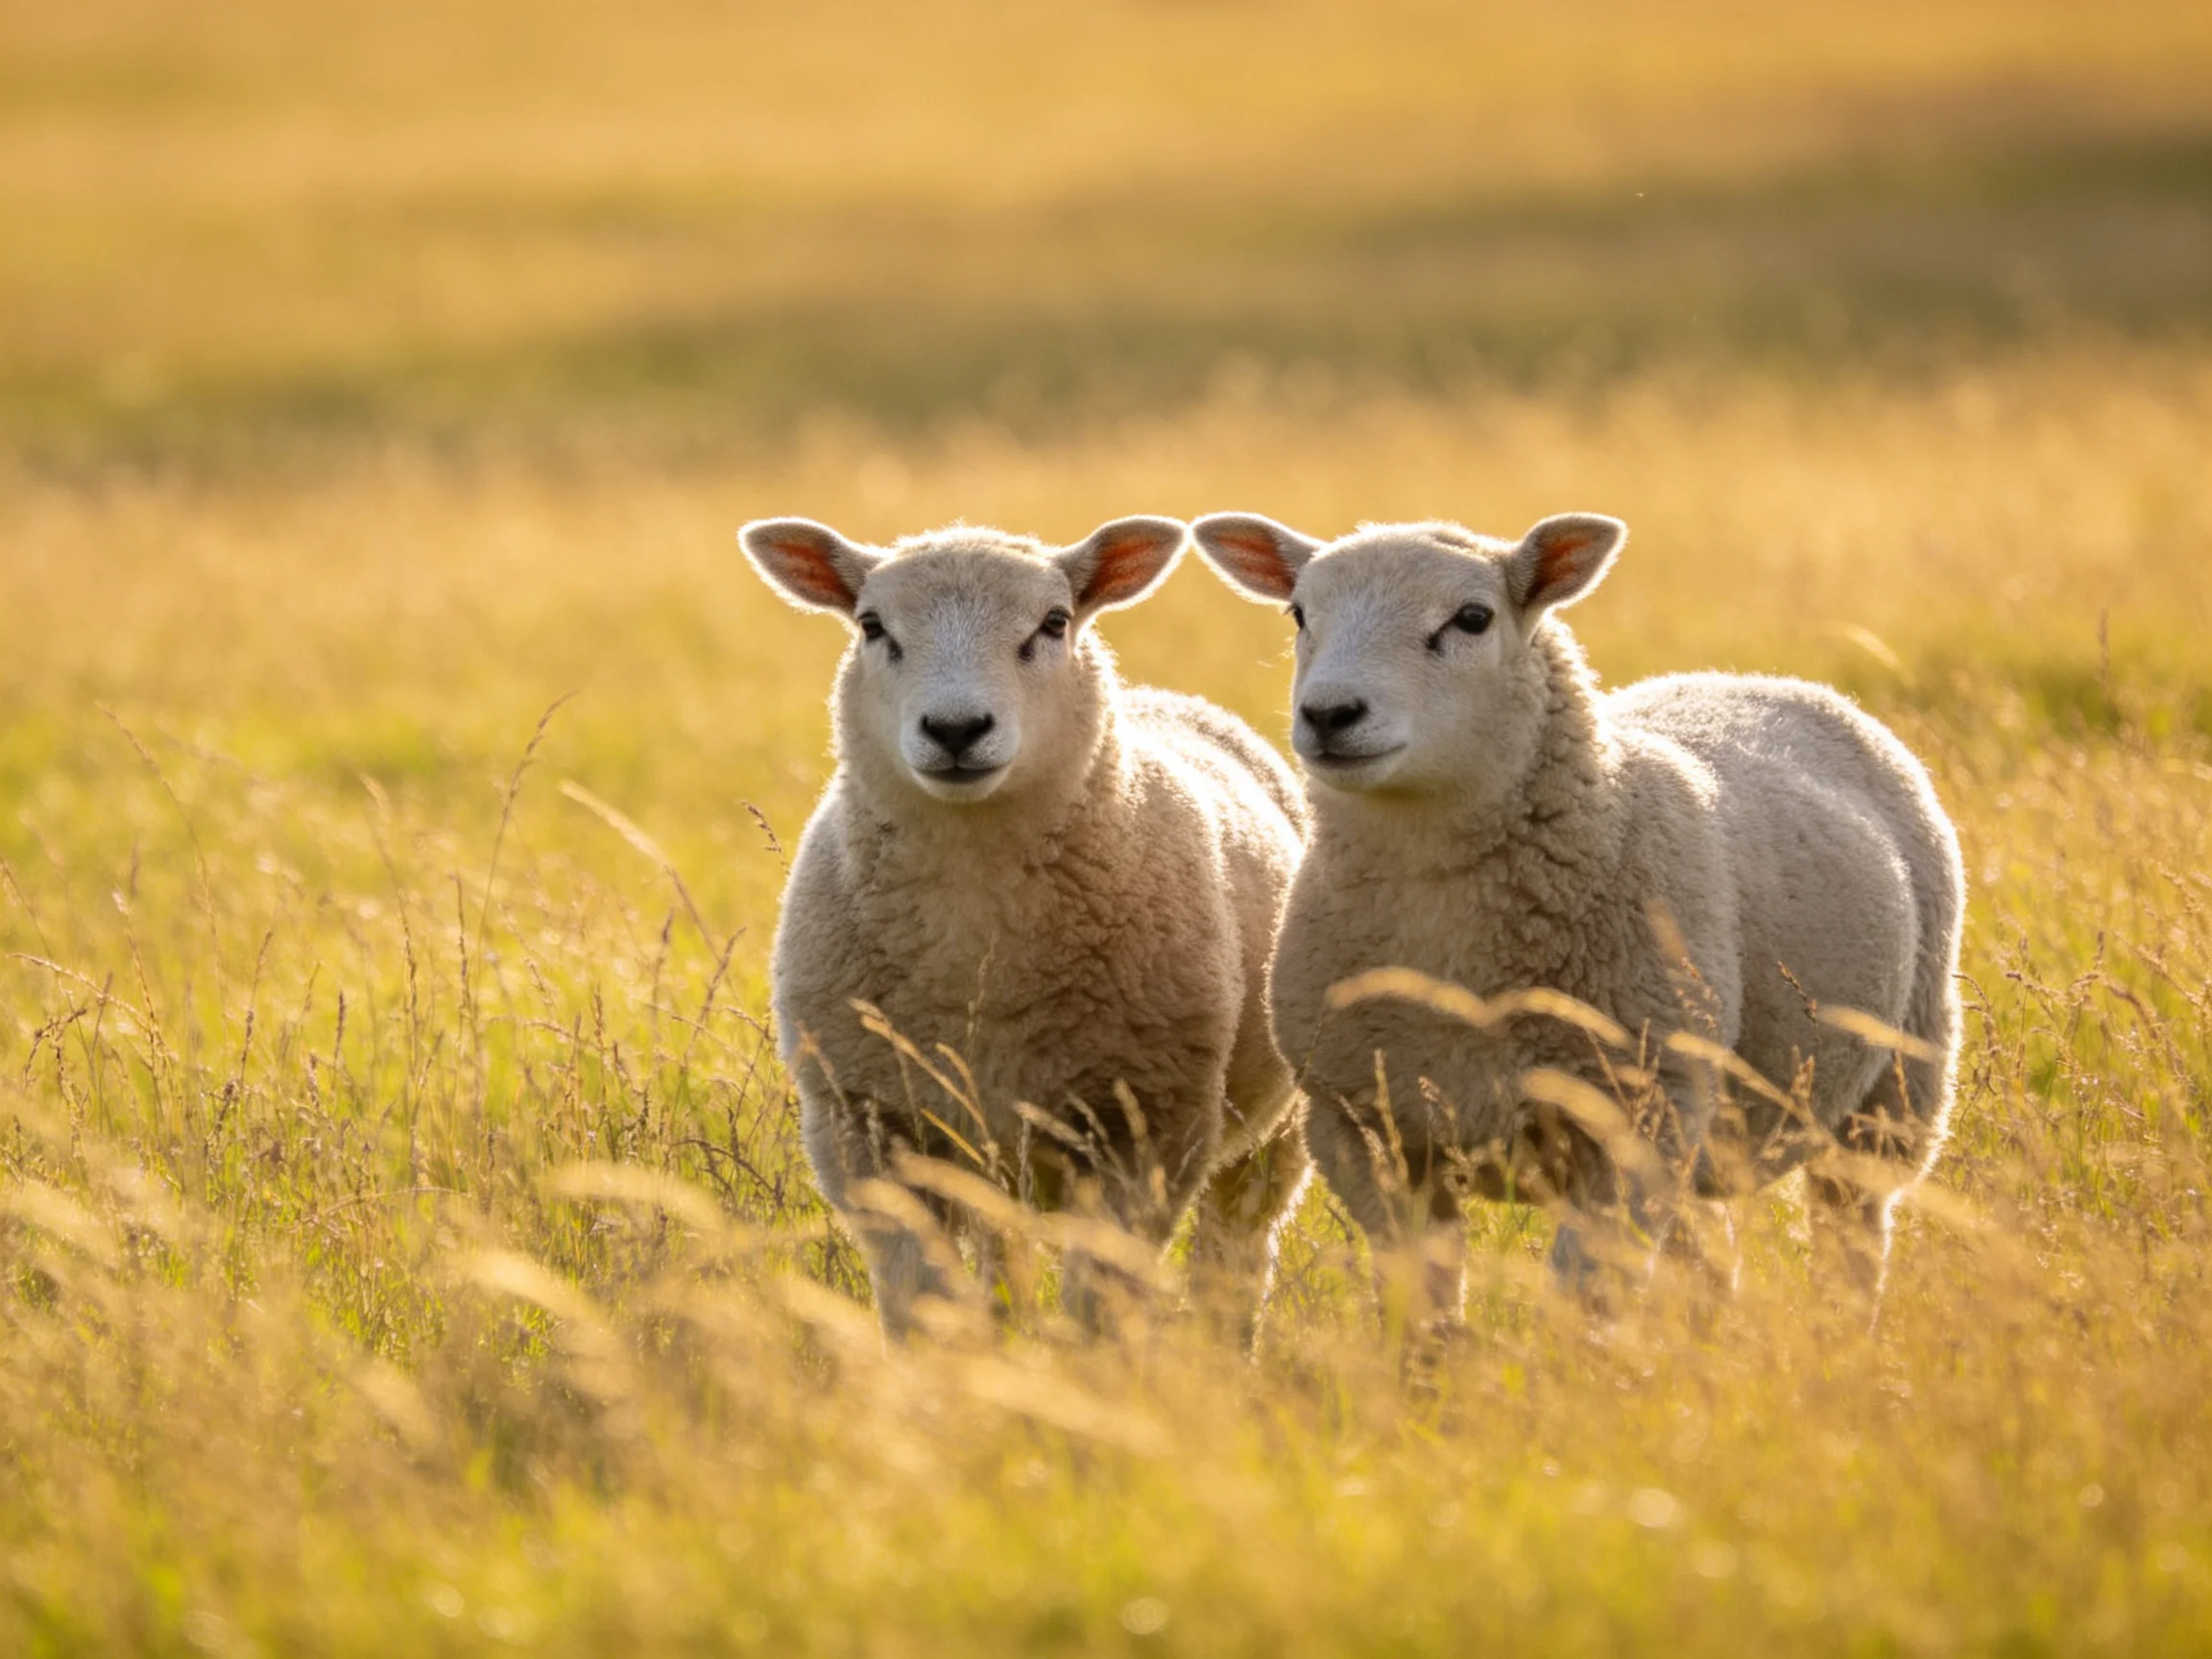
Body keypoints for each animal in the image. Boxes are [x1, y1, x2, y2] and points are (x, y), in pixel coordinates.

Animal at [740, 514, 1310, 1340]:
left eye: (1053, 623)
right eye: (872, 626)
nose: (955, 729)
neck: (976, 945)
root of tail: (1164, 697)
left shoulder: (1147, 1129)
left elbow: (1101, 1306)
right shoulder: (869, 1127)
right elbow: (923, 1302)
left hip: (1274, 1130)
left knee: (1236, 1253)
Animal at [1189, 509, 1964, 1323]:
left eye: (1472, 618)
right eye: (1299, 614)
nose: (1330, 714)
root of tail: (1751, 679)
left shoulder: (1631, 1121)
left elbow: (1584, 1296)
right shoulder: (1367, 1129)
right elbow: (1420, 1306)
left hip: (1898, 1079)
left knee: (1853, 1226)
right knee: (1704, 1248)